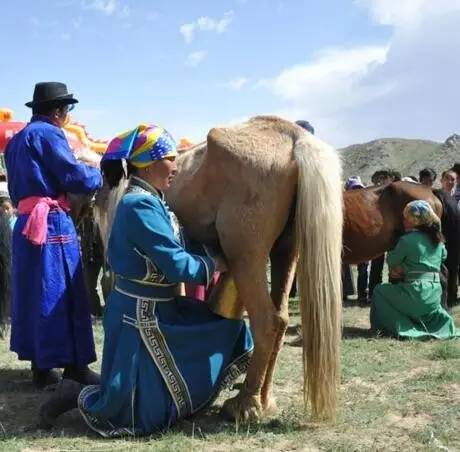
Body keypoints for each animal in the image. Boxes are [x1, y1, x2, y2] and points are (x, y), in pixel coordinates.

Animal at [97, 115, 344, 422]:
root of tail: (295, 138)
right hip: (286, 249)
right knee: (282, 318)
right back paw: (264, 401)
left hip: (245, 253)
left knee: (267, 321)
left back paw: (244, 405)